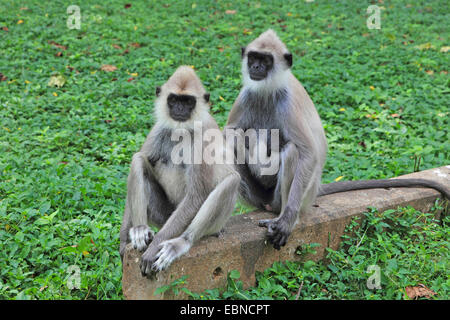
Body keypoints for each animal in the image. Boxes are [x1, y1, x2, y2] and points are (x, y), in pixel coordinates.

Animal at [118, 66, 239, 276]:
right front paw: (124, 239)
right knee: (139, 160)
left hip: (210, 225)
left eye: (188, 101)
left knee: (232, 181)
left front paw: (154, 248)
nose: (180, 109)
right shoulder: (159, 129)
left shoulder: (202, 138)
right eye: (173, 100)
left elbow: (197, 196)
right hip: (164, 216)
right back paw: (140, 229)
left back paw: (180, 243)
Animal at [227, 29, 448, 250]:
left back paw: (280, 214)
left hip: (299, 196)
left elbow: (308, 154)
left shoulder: (286, 103)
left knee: (291, 151)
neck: (267, 90)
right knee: (234, 139)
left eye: (266, 60)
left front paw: (287, 221)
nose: (255, 67)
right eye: (253, 58)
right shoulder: (246, 96)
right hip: (257, 196)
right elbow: (228, 133)